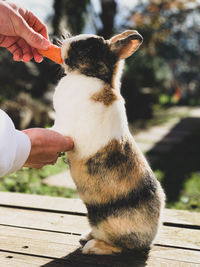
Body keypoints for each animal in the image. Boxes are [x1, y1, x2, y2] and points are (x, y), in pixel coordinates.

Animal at [52, 30, 166, 256]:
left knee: (120, 247)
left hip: (111, 226)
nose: (64, 44)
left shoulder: (62, 125)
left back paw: (91, 247)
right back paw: (86, 237)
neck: (91, 77)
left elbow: (56, 130)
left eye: (88, 46)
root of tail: (150, 238)